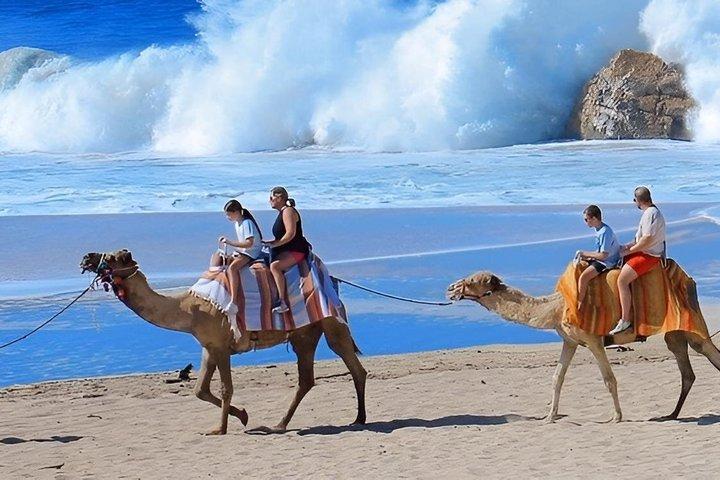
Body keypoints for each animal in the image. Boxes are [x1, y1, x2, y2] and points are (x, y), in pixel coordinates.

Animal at [80, 249, 367, 435]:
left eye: (113, 257)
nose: (86, 257)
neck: (188, 308)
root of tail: (330, 278)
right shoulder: (208, 346)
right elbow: (200, 390)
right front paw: (242, 416)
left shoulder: (220, 345)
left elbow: (226, 388)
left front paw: (221, 428)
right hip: (304, 333)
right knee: (308, 379)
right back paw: (282, 425)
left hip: (328, 322)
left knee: (351, 364)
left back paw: (356, 418)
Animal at [447, 269, 720, 423]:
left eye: (473, 280)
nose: (450, 288)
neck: (556, 308)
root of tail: (689, 280)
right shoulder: (569, 341)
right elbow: (557, 378)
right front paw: (549, 417)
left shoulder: (593, 340)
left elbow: (609, 379)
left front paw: (616, 417)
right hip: (675, 334)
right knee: (687, 371)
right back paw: (670, 415)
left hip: (690, 324)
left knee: (708, 353)